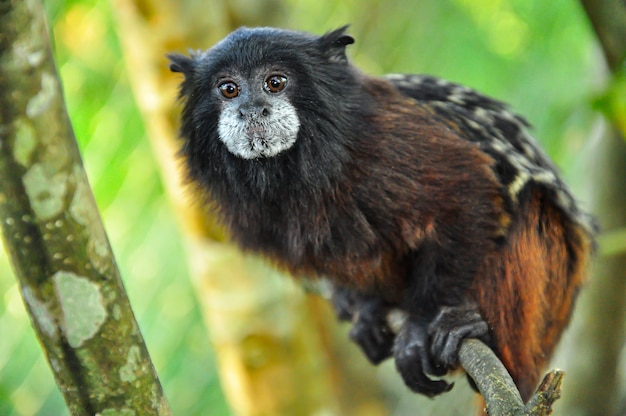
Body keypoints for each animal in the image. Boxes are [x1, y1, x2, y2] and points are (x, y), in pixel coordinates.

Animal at [167, 26, 596, 404]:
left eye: (275, 82)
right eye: (228, 89)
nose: (251, 109)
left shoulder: (396, 140)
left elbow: (469, 192)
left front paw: (419, 324)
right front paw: (366, 304)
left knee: (529, 200)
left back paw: (480, 334)